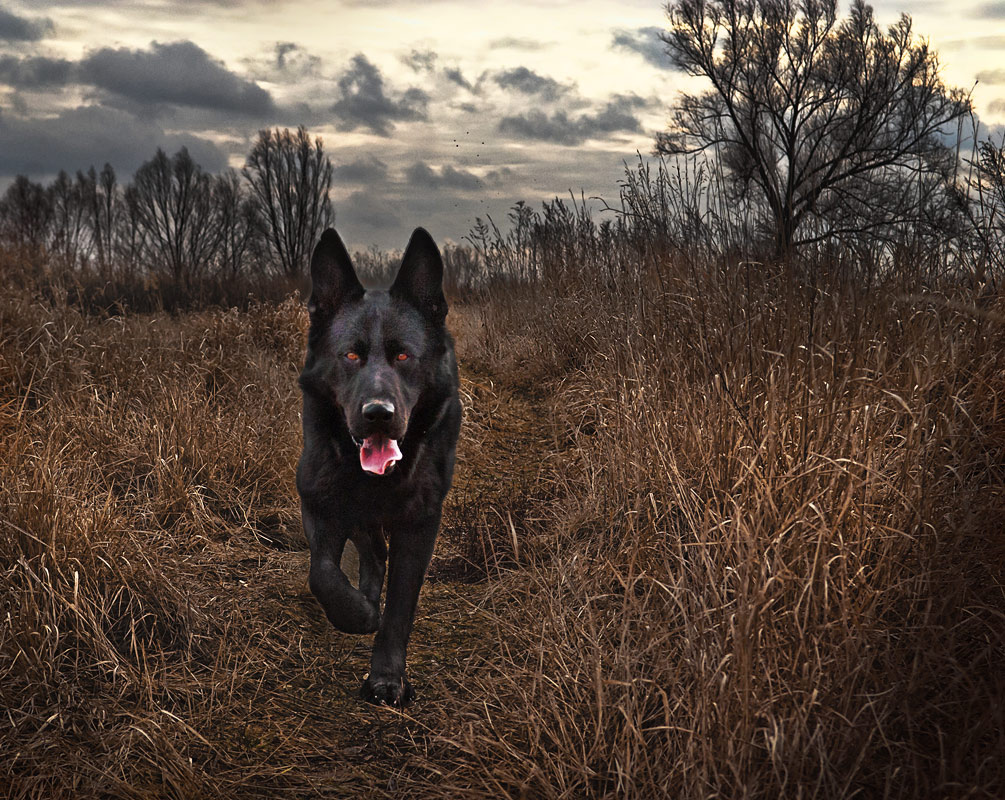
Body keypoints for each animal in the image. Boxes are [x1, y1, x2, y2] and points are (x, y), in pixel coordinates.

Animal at [293, 226, 460, 707]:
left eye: (403, 356)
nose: (378, 414)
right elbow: (323, 574)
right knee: (370, 552)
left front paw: (386, 677)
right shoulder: (320, 501)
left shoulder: (419, 523)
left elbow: (400, 605)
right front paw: (357, 613)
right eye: (351, 356)